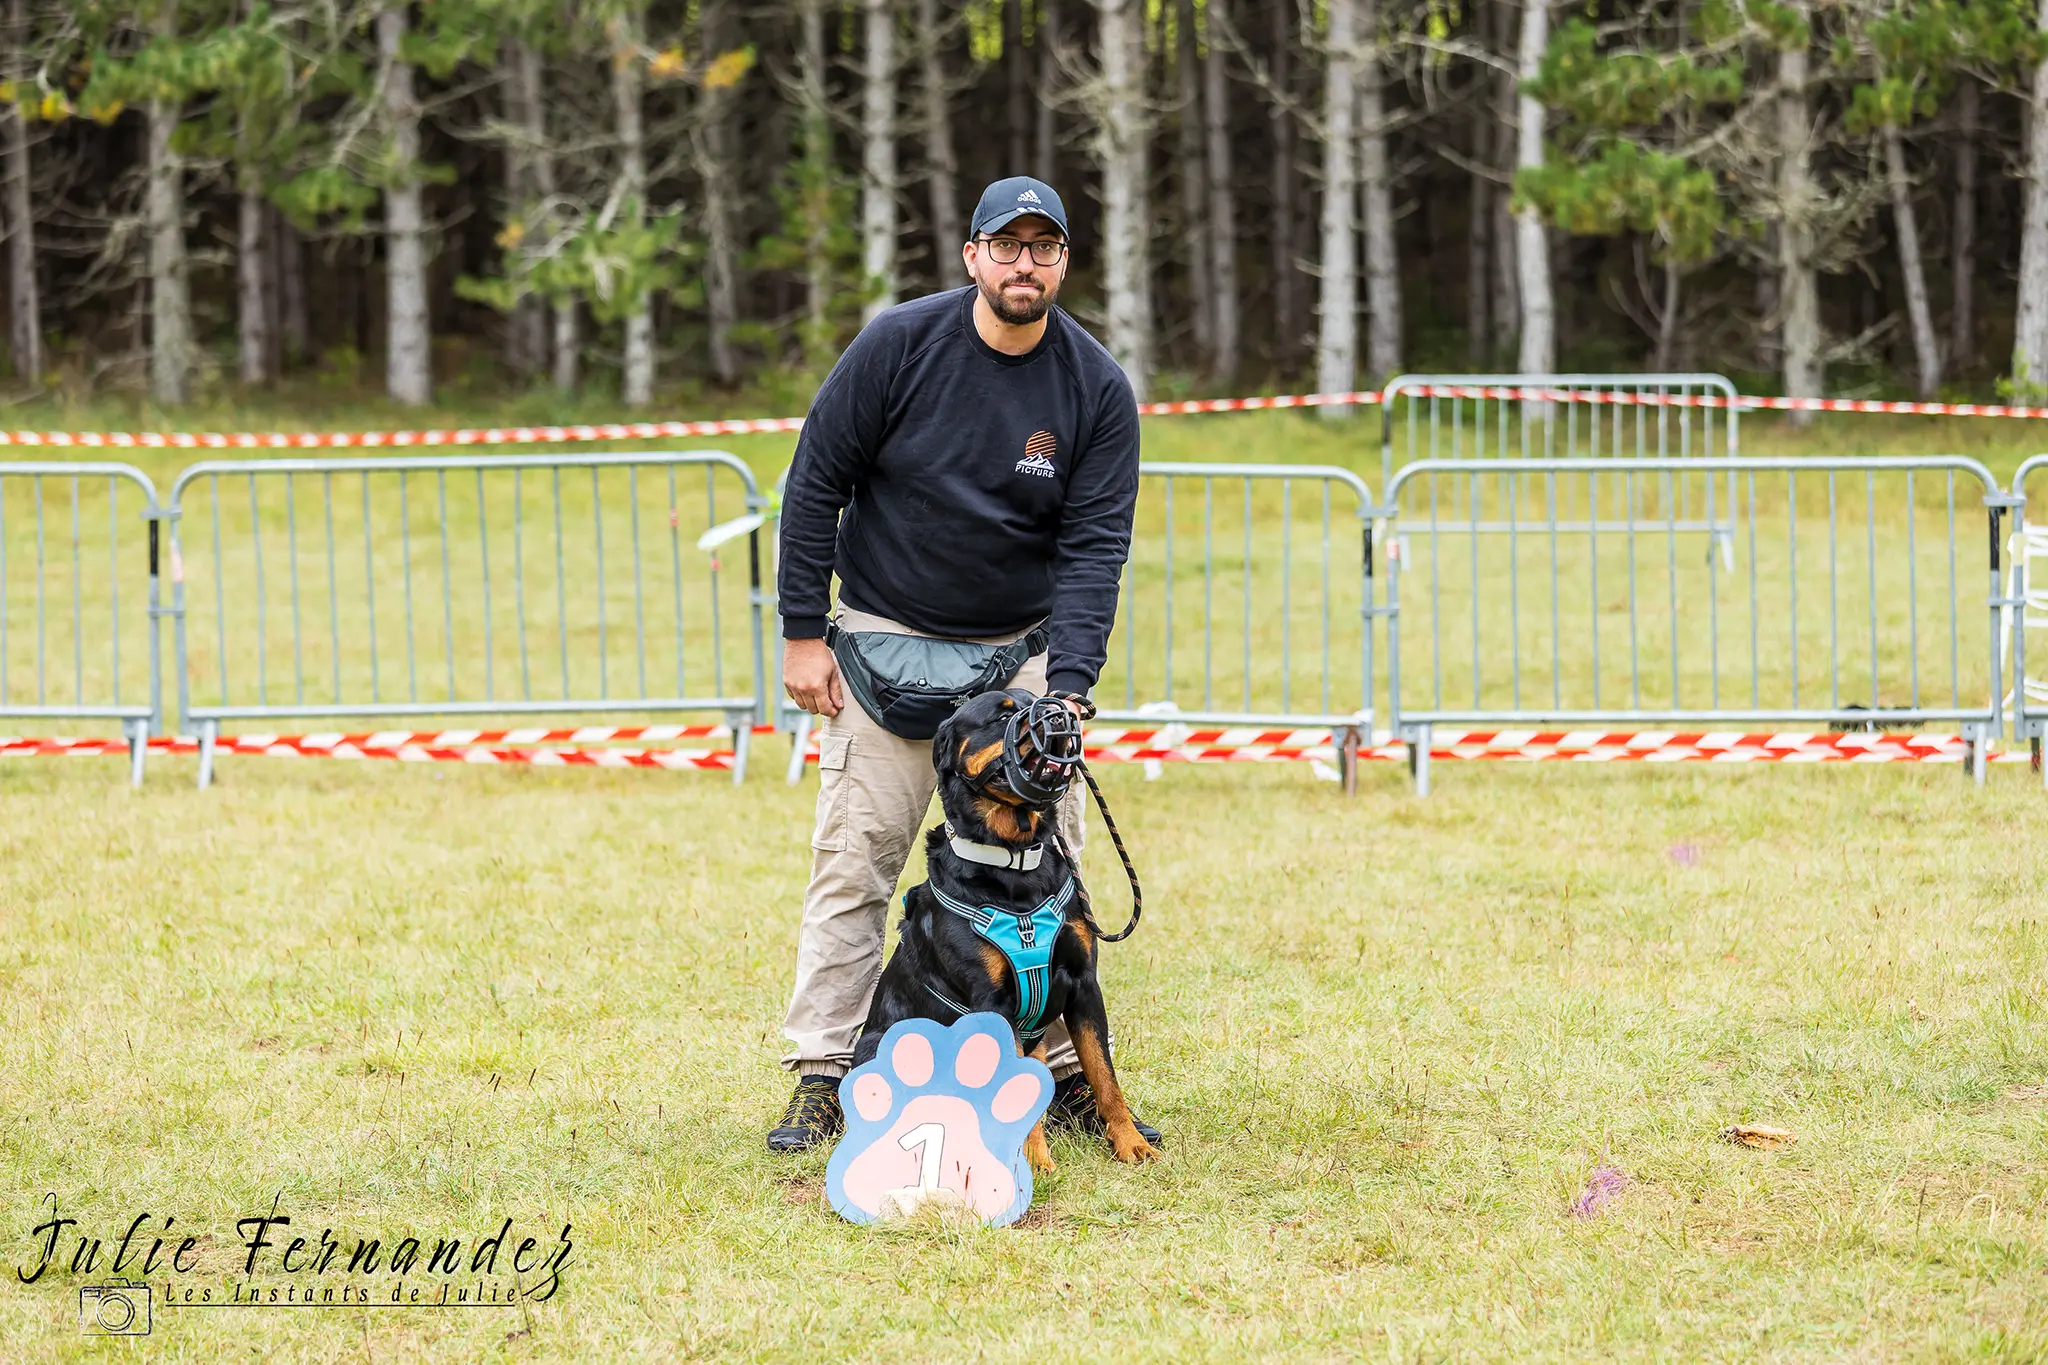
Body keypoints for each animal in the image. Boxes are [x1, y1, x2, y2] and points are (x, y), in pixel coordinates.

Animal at [851, 687, 1163, 1170]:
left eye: (1046, 701)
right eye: (1001, 716)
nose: (1060, 716)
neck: (1013, 861)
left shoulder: (1084, 985)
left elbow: (1105, 1076)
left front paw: (1130, 1142)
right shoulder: (992, 1001)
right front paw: (1034, 1162)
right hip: (881, 1044)